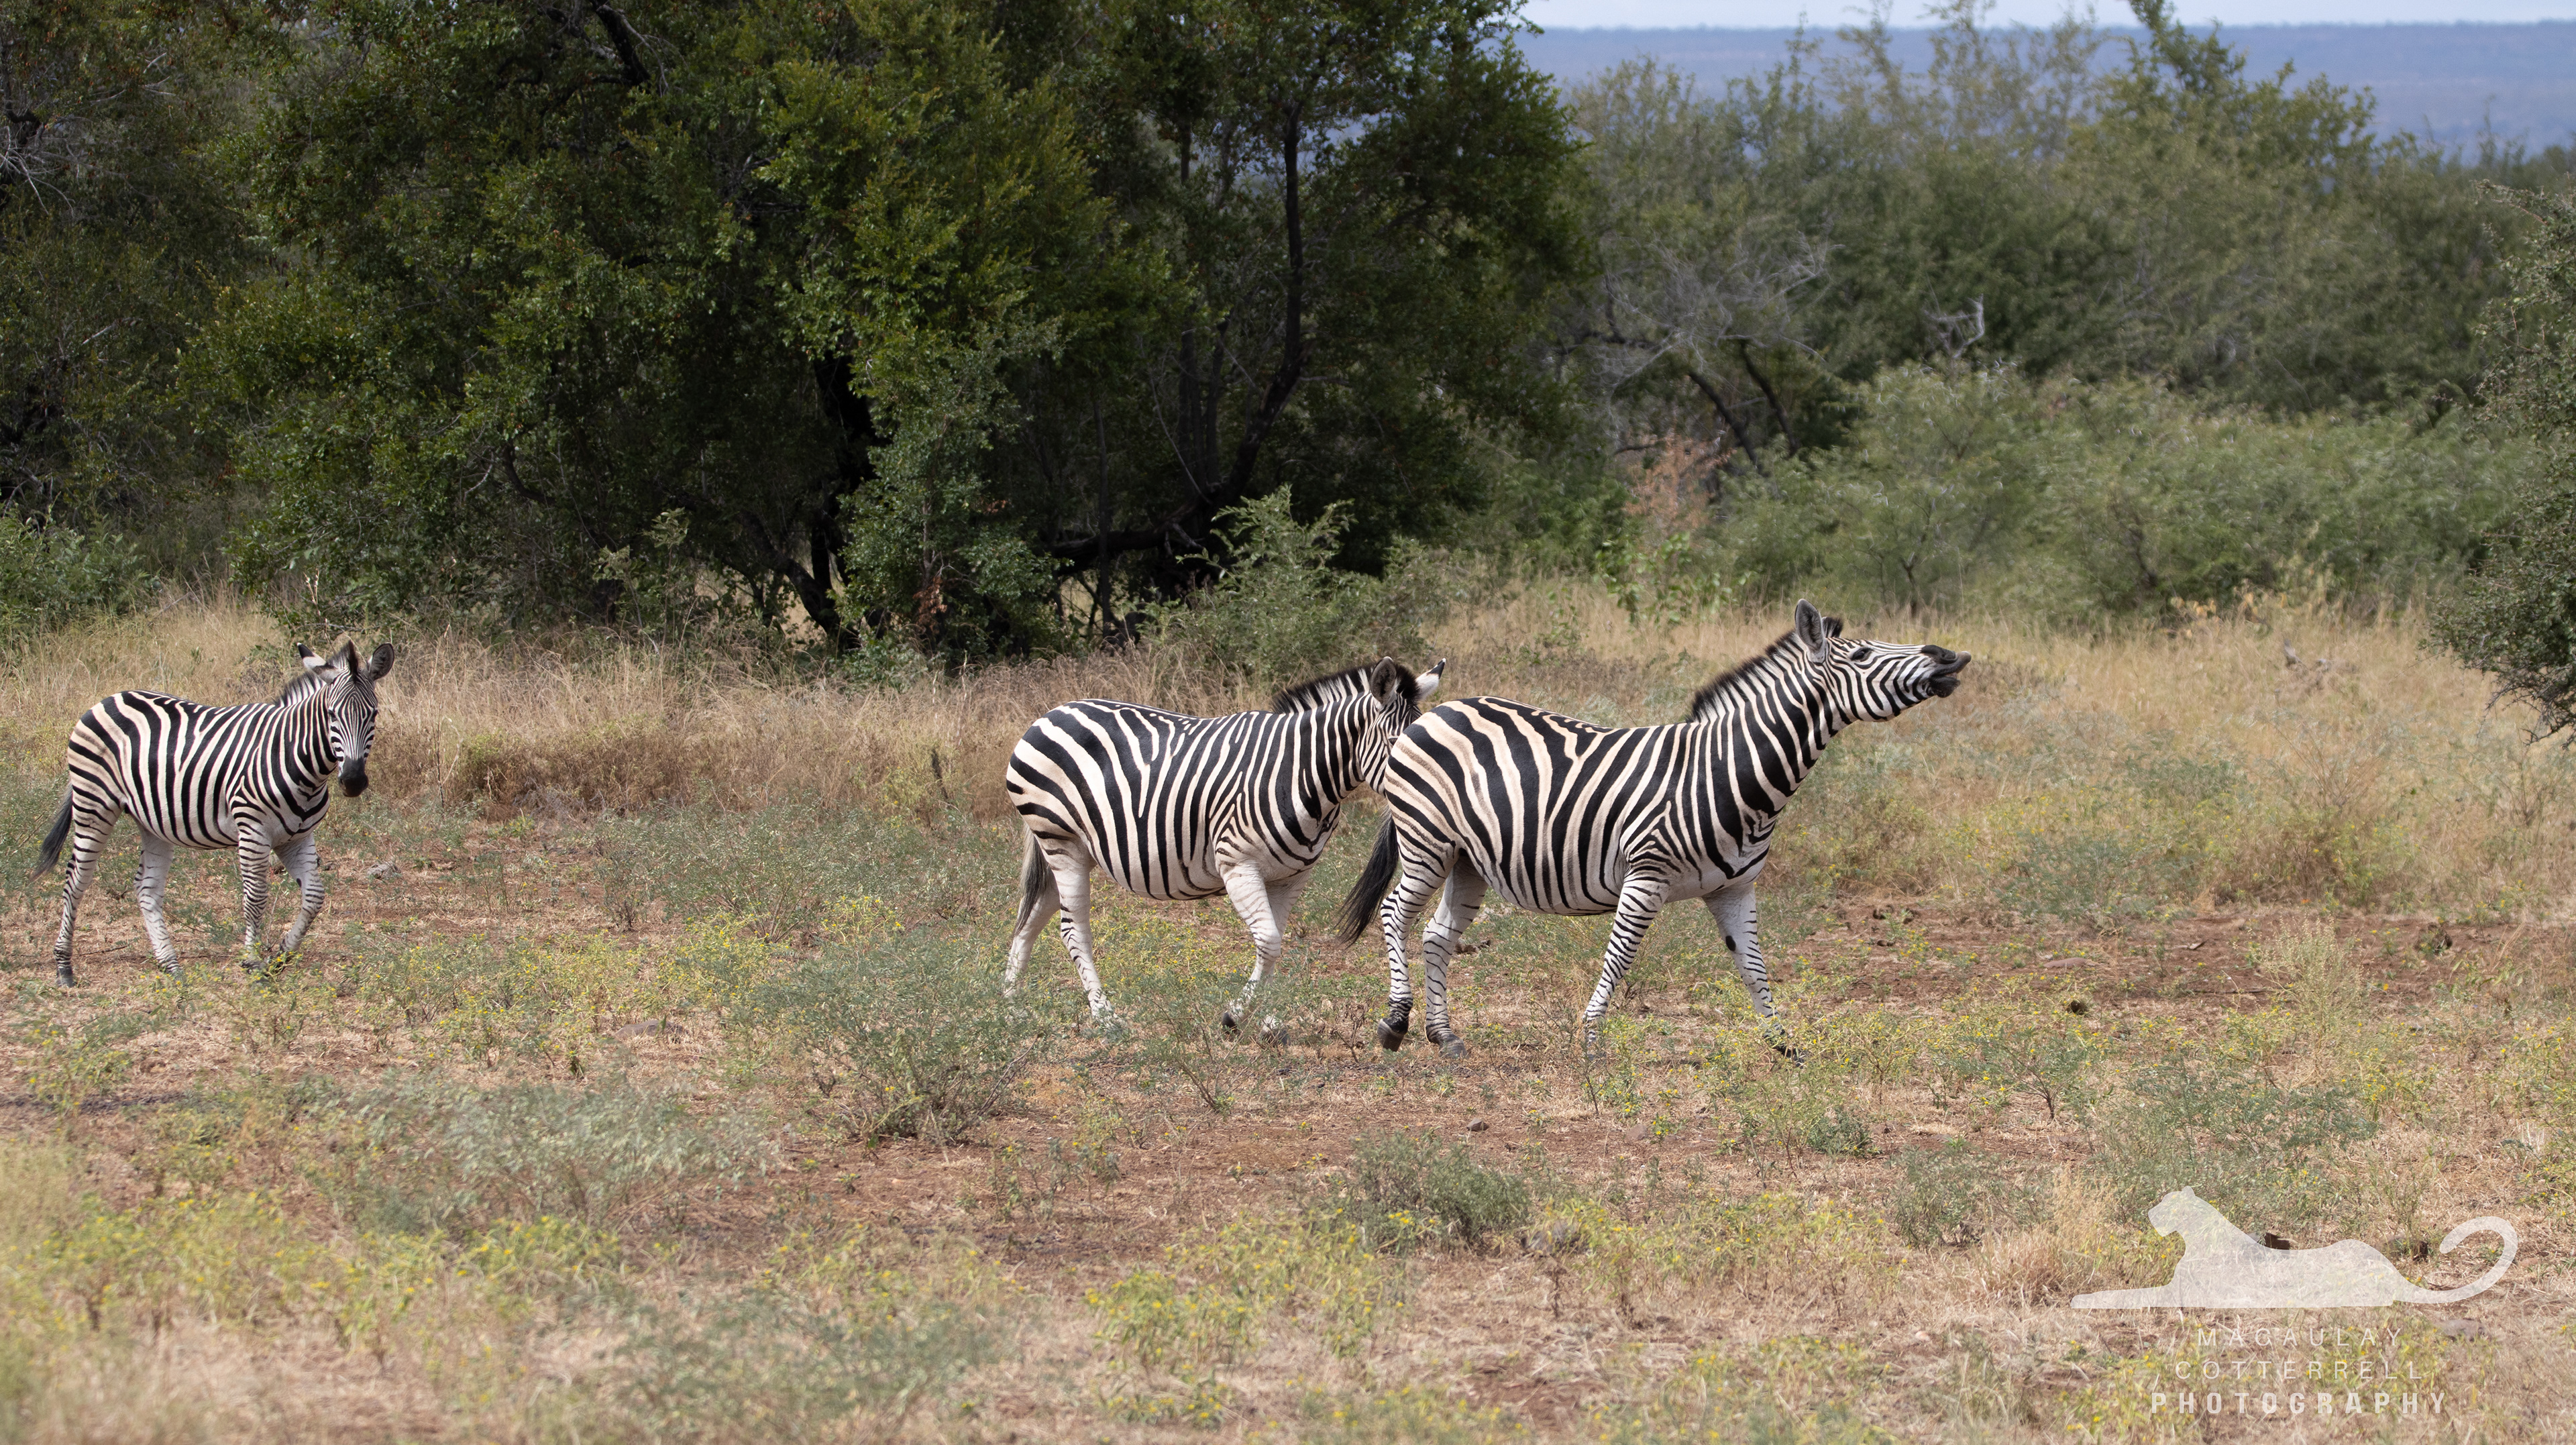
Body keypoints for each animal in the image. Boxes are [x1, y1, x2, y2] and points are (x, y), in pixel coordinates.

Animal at [39, 640, 396, 986]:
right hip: (94, 803)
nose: (353, 781)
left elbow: (314, 897)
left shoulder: (297, 837)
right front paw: (253, 963)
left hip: (152, 821)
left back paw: (171, 967)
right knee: (76, 879)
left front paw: (281, 957)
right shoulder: (253, 831)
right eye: (331, 715)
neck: (298, 762)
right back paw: (64, 968)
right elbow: (256, 898)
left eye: (373, 714)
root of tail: (109, 698)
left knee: (146, 887)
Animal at [1004, 656, 1445, 1036]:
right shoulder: (1237, 865)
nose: (1433, 796)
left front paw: (1267, 1021)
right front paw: (1236, 1015)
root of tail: (1050, 714)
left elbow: (1274, 943)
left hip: (1070, 849)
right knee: (1072, 928)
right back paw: (1105, 1016)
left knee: (1032, 917)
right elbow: (1269, 941)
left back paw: (1012, 1005)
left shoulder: (1291, 877)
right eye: (1397, 743)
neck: (1300, 773)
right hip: (1062, 843)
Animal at [1335, 601, 1967, 1057]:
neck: (1731, 771)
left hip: (1468, 861)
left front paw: (1785, 1047)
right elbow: (1619, 958)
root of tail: (1434, 714)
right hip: (1428, 842)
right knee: (1394, 913)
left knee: (1437, 936)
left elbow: (1754, 968)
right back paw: (1395, 1022)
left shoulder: (1735, 889)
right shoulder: (1646, 877)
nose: (1951, 657)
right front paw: (1592, 1041)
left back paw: (1444, 1036)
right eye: (1860, 655)